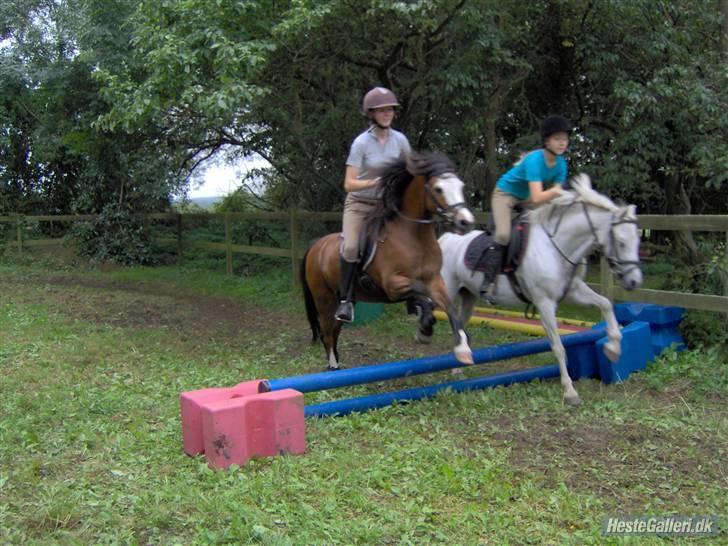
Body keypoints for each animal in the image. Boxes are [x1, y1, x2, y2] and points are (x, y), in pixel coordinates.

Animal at [302, 151, 478, 368]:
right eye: (438, 189)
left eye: (461, 186)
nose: (466, 222)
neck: (413, 236)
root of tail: (316, 246)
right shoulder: (393, 285)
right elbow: (422, 292)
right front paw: (425, 329)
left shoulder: (435, 280)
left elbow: (449, 307)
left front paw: (461, 347)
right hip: (323, 298)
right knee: (327, 333)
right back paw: (333, 367)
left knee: (335, 332)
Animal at [438, 174, 644, 404]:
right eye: (621, 242)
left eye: (638, 240)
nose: (634, 282)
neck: (559, 246)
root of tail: (445, 238)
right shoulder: (545, 303)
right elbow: (558, 346)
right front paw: (570, 391)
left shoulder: (574, 291)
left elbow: (606, 304)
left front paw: (613, 349)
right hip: (447, 290)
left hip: (468, 295)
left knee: (459, 323)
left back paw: (458, 366)